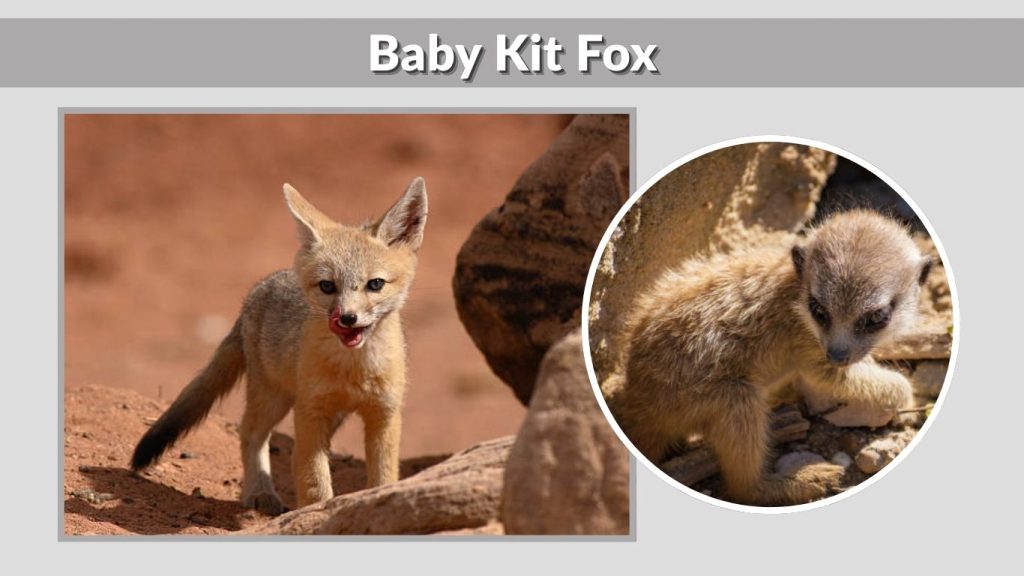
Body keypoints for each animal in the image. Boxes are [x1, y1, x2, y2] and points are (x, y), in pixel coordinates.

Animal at [130, 177, 428, 515]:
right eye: (328, 286)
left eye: (375, 284)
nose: (347, 318)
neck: (354, 369)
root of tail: (260, 288)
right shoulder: (310, 411)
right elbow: (313, 480)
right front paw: (315, 513)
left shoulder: (384, 414)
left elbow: (383, 475)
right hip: (274, 398)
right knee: (250, 433)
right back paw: (259, 491)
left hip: (324, 414)